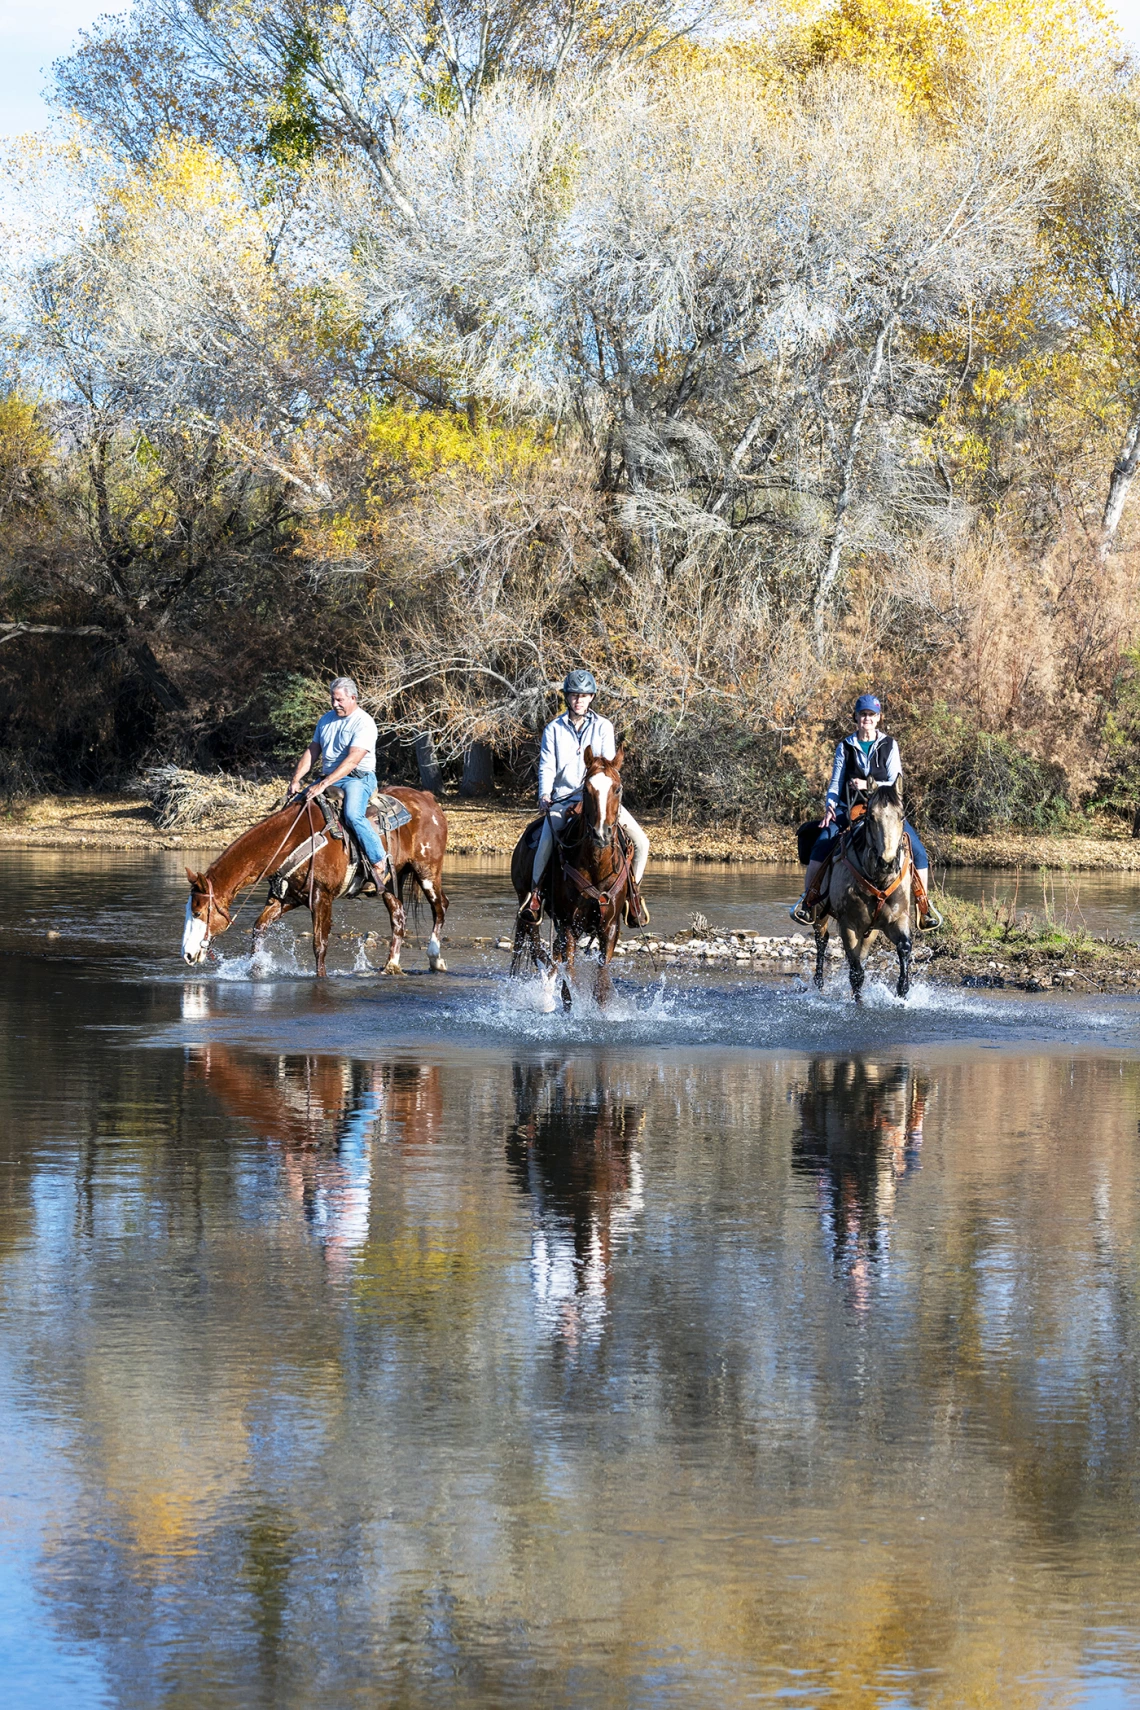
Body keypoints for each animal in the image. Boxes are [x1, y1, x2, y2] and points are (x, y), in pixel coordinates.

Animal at [180, 786, 447, 978]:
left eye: (198, 912)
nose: (187, 955)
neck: (289, 841)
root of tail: (428, 799)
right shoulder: (285, 898)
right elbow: (258, 930)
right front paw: (256, 971)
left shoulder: (322, 897)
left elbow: (320, 945)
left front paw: (321, 978)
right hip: (391, 881)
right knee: (398, 916)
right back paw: (391, 965)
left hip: (427, 871)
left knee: (439, 907)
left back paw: (436, 959)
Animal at [509, 745, 639, 1005]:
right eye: (587, 789)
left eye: (617, 788)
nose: (601, 834)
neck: (596, 865)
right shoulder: (569, 924)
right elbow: (570, 978)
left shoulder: (610, 927)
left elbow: (600, 986)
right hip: (527, 904)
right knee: (537, 946)